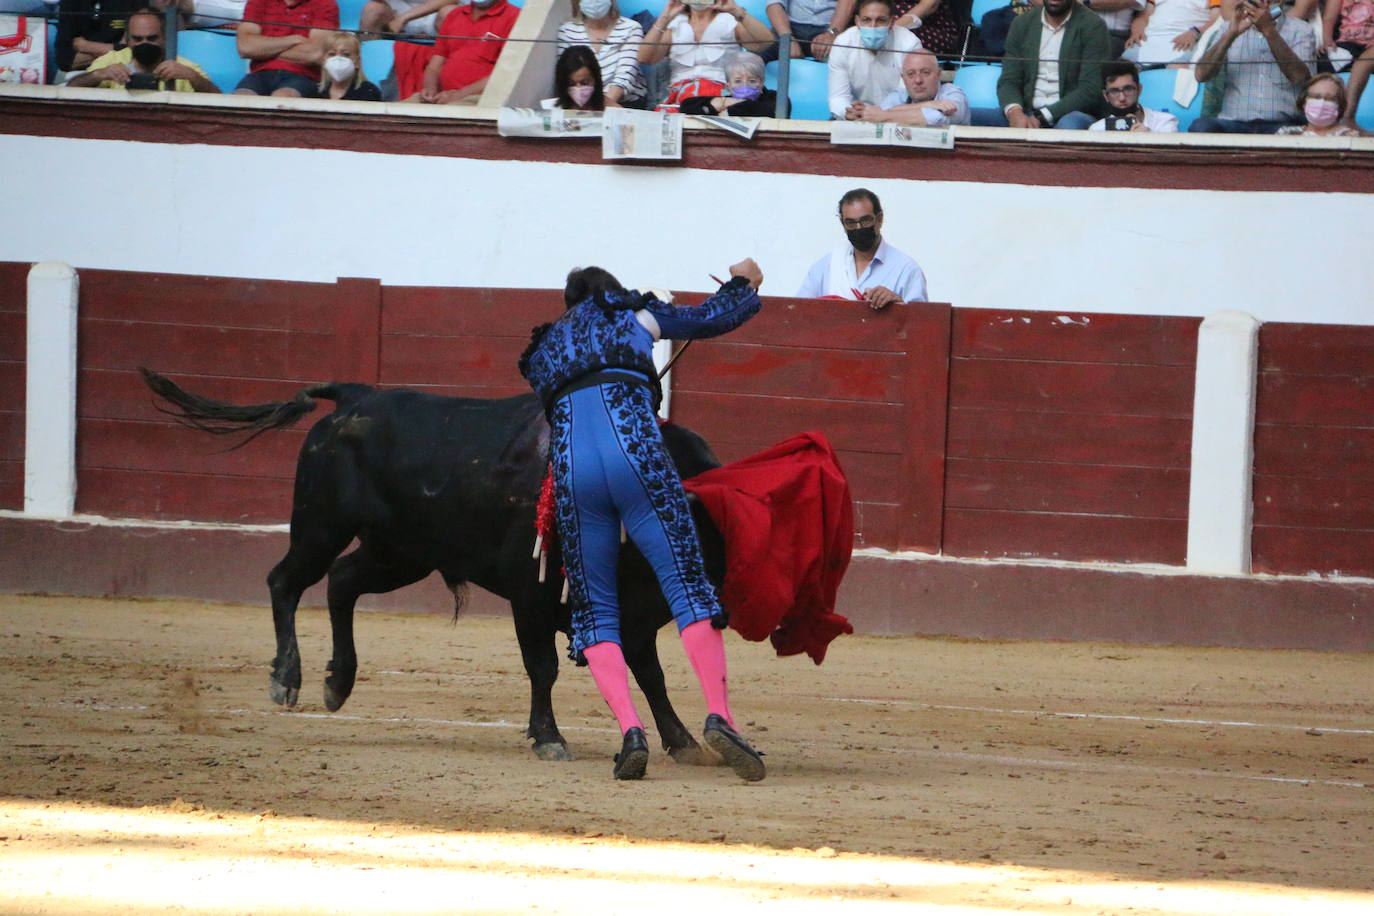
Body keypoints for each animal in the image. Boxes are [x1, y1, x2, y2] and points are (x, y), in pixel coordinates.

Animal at [142, 368, 730, 763]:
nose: (723, 612)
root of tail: (357, 395)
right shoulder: (530, 595)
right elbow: (544, 666)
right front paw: (549, 738)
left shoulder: (635, 613)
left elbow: (652, 674)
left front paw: (684, 742)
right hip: (321, 524)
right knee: (286, 580)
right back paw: (288, 680)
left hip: (400, 554)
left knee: (342, 582)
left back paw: (338, 682)